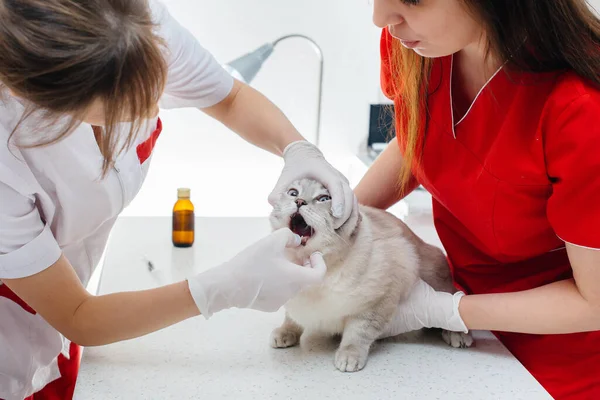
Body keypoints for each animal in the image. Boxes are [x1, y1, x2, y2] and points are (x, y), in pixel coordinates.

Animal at [268, 178, 474, 372]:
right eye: (293, 192)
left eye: (324, 199)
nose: (299, 201)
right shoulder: (294, 301)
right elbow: (291, 318)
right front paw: (285, 333)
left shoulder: (377, 301)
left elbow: (358, 333)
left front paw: (349, 356)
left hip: (435, 276)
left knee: (453, 299)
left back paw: (457, 334)